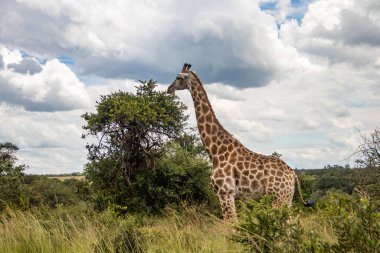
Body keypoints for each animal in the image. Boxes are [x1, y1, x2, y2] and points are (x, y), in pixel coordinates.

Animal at [168, 63, 308, 221]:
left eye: (178, 77)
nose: (168, 89)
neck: (215, 152)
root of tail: (293, 174)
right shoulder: (228, 195)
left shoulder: (225, 193)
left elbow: (231, 222)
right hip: (286, 200)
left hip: (279, 199)